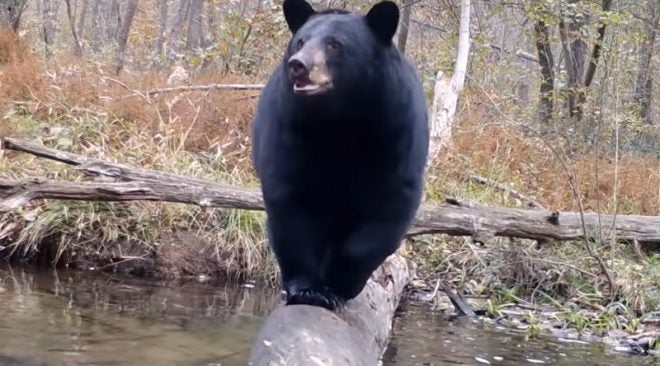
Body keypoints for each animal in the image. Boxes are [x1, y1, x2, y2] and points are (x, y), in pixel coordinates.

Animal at [251, 0, 428, 312]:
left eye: (335, 44)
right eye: (301, 41)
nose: (298, 65)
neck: (338, 121)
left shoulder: (396, 131)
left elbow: (387, 210)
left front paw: (341, 284)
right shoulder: (289, 129)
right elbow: (291, 206)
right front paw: (310, 290)